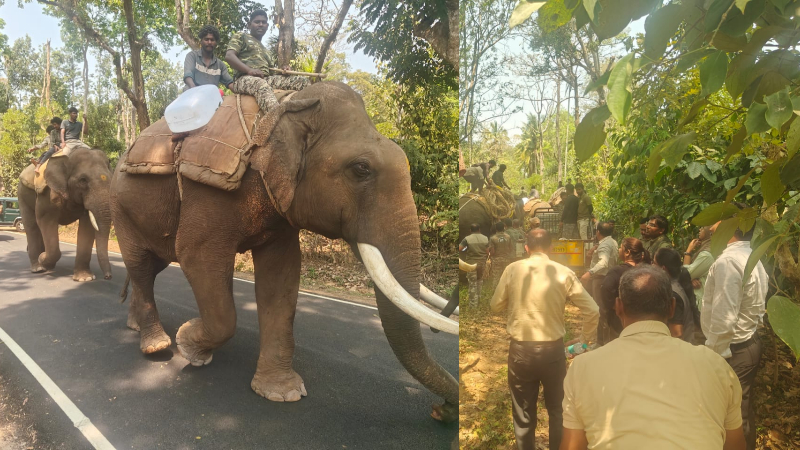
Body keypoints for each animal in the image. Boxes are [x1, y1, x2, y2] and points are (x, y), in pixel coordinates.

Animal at [17, 147, 113, 281]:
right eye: (83, 180)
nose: (108, 276)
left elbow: (87, 226)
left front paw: (85, 278)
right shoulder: (47, 194)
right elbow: (44, 220)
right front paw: (42, 258)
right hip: (22, 192)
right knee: (31, 225)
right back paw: (38, 267)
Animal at [111, 81, 458, 422]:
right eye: (361, 169)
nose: (442, 410)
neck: (285, 107)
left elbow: (281, 275)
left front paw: (281, 393)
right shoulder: (209, 194)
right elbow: (196, 257)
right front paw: (190, 347)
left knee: (150, 267)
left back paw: (135, 325)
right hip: (120, 206)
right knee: (140, 264)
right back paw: (156, 346)